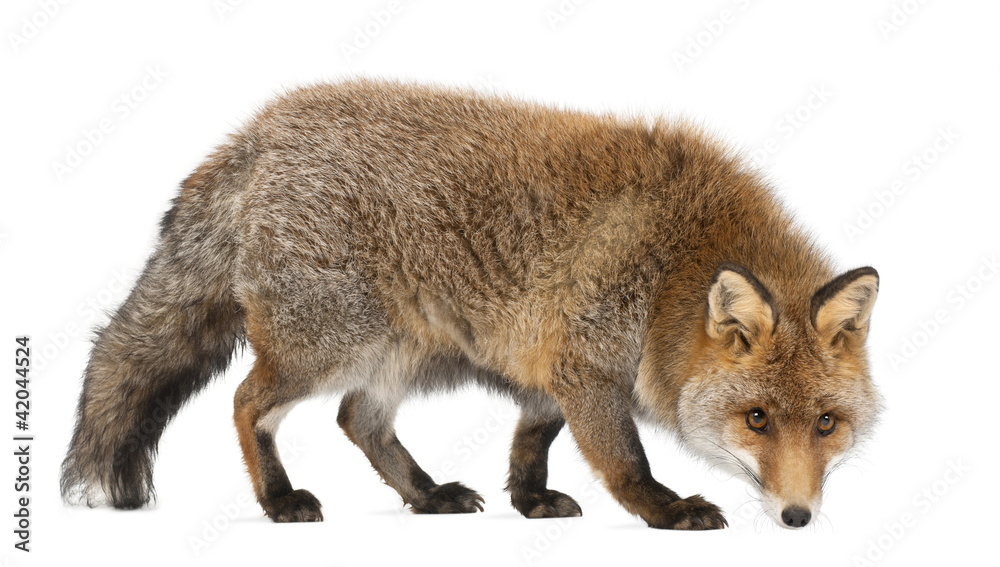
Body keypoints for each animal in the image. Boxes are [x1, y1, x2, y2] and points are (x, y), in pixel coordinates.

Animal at [61, 78, 881, 530]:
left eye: (827, 424)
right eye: (756, 419)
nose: (798, 518)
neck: (671, 266)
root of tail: (258, 131)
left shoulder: (551, 364)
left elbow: (531, 442)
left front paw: (530, 500)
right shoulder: (589, 364)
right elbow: (625, 461)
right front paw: (665, 509)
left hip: (403, 353)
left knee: (358, 419)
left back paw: (425, 495)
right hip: (328, 345)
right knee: (246, 403)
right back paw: (279, 498)